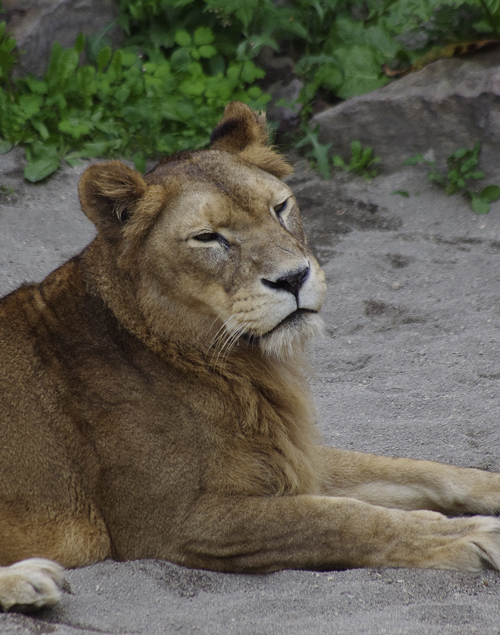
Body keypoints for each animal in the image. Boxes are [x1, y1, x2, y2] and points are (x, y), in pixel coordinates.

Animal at [0, 102, 500, 612]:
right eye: (207, 238)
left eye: (280, 208)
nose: (293, 277)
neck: (241, 365)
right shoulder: (172, 521)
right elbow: (340, 520)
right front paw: (473, 535)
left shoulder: (290, 455)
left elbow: (412, 468)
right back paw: (30, 579)